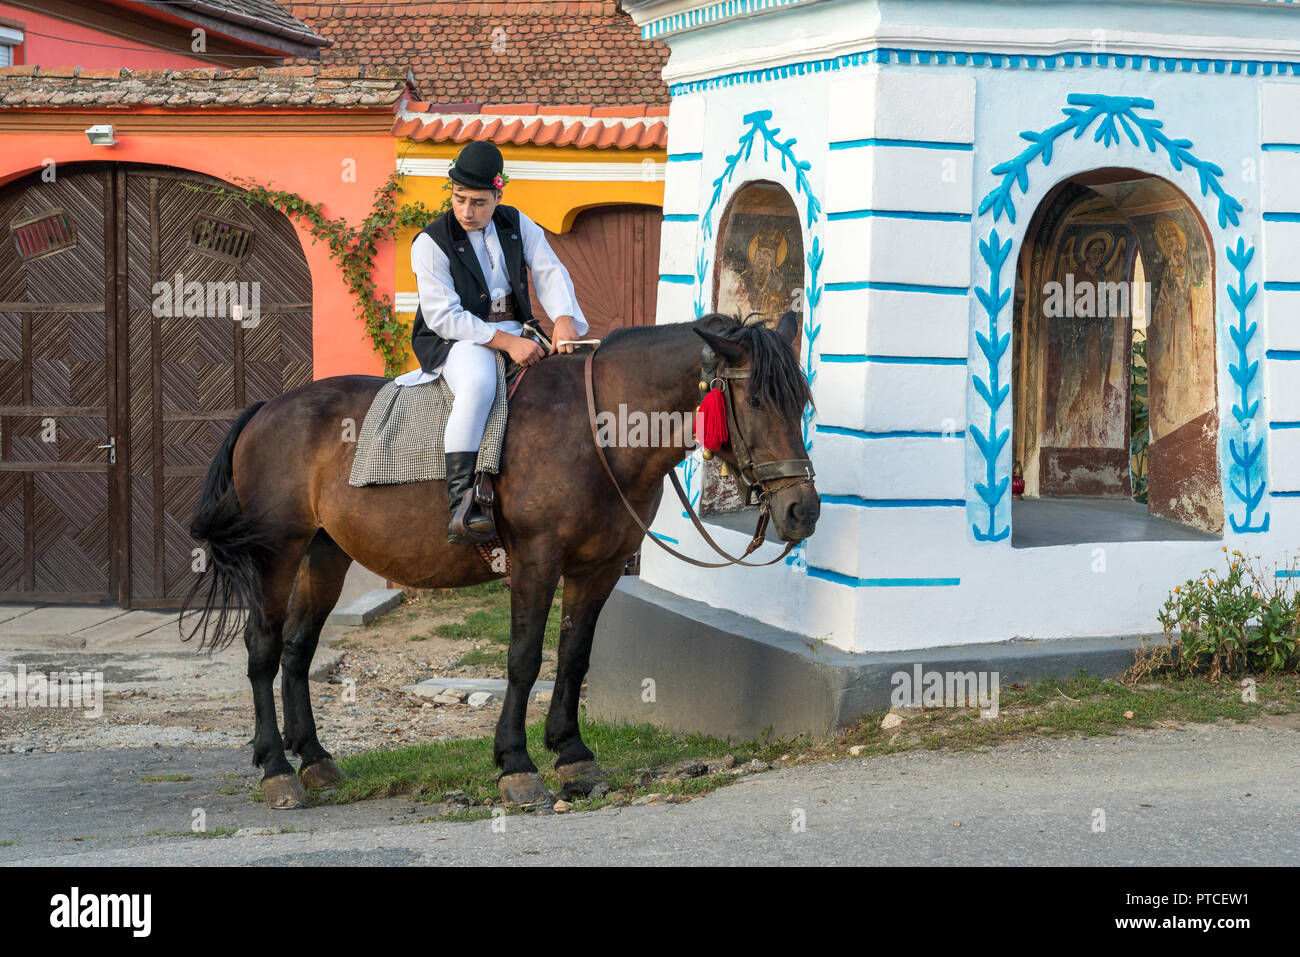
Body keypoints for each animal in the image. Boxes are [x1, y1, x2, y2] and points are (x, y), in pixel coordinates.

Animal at [182, 310, 819, 808]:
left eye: (803, 401)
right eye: (756, 399)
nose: (802, 511)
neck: (597, 431)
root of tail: (267, 408)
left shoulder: (598, 568)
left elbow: (574, 656)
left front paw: (573, 754)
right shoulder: (536, 560)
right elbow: (524, 659)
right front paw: (516, 763)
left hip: (325, 554)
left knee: (297, 648)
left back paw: (314, 759)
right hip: (275, 554)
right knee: (263, 649)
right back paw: (276, 769)